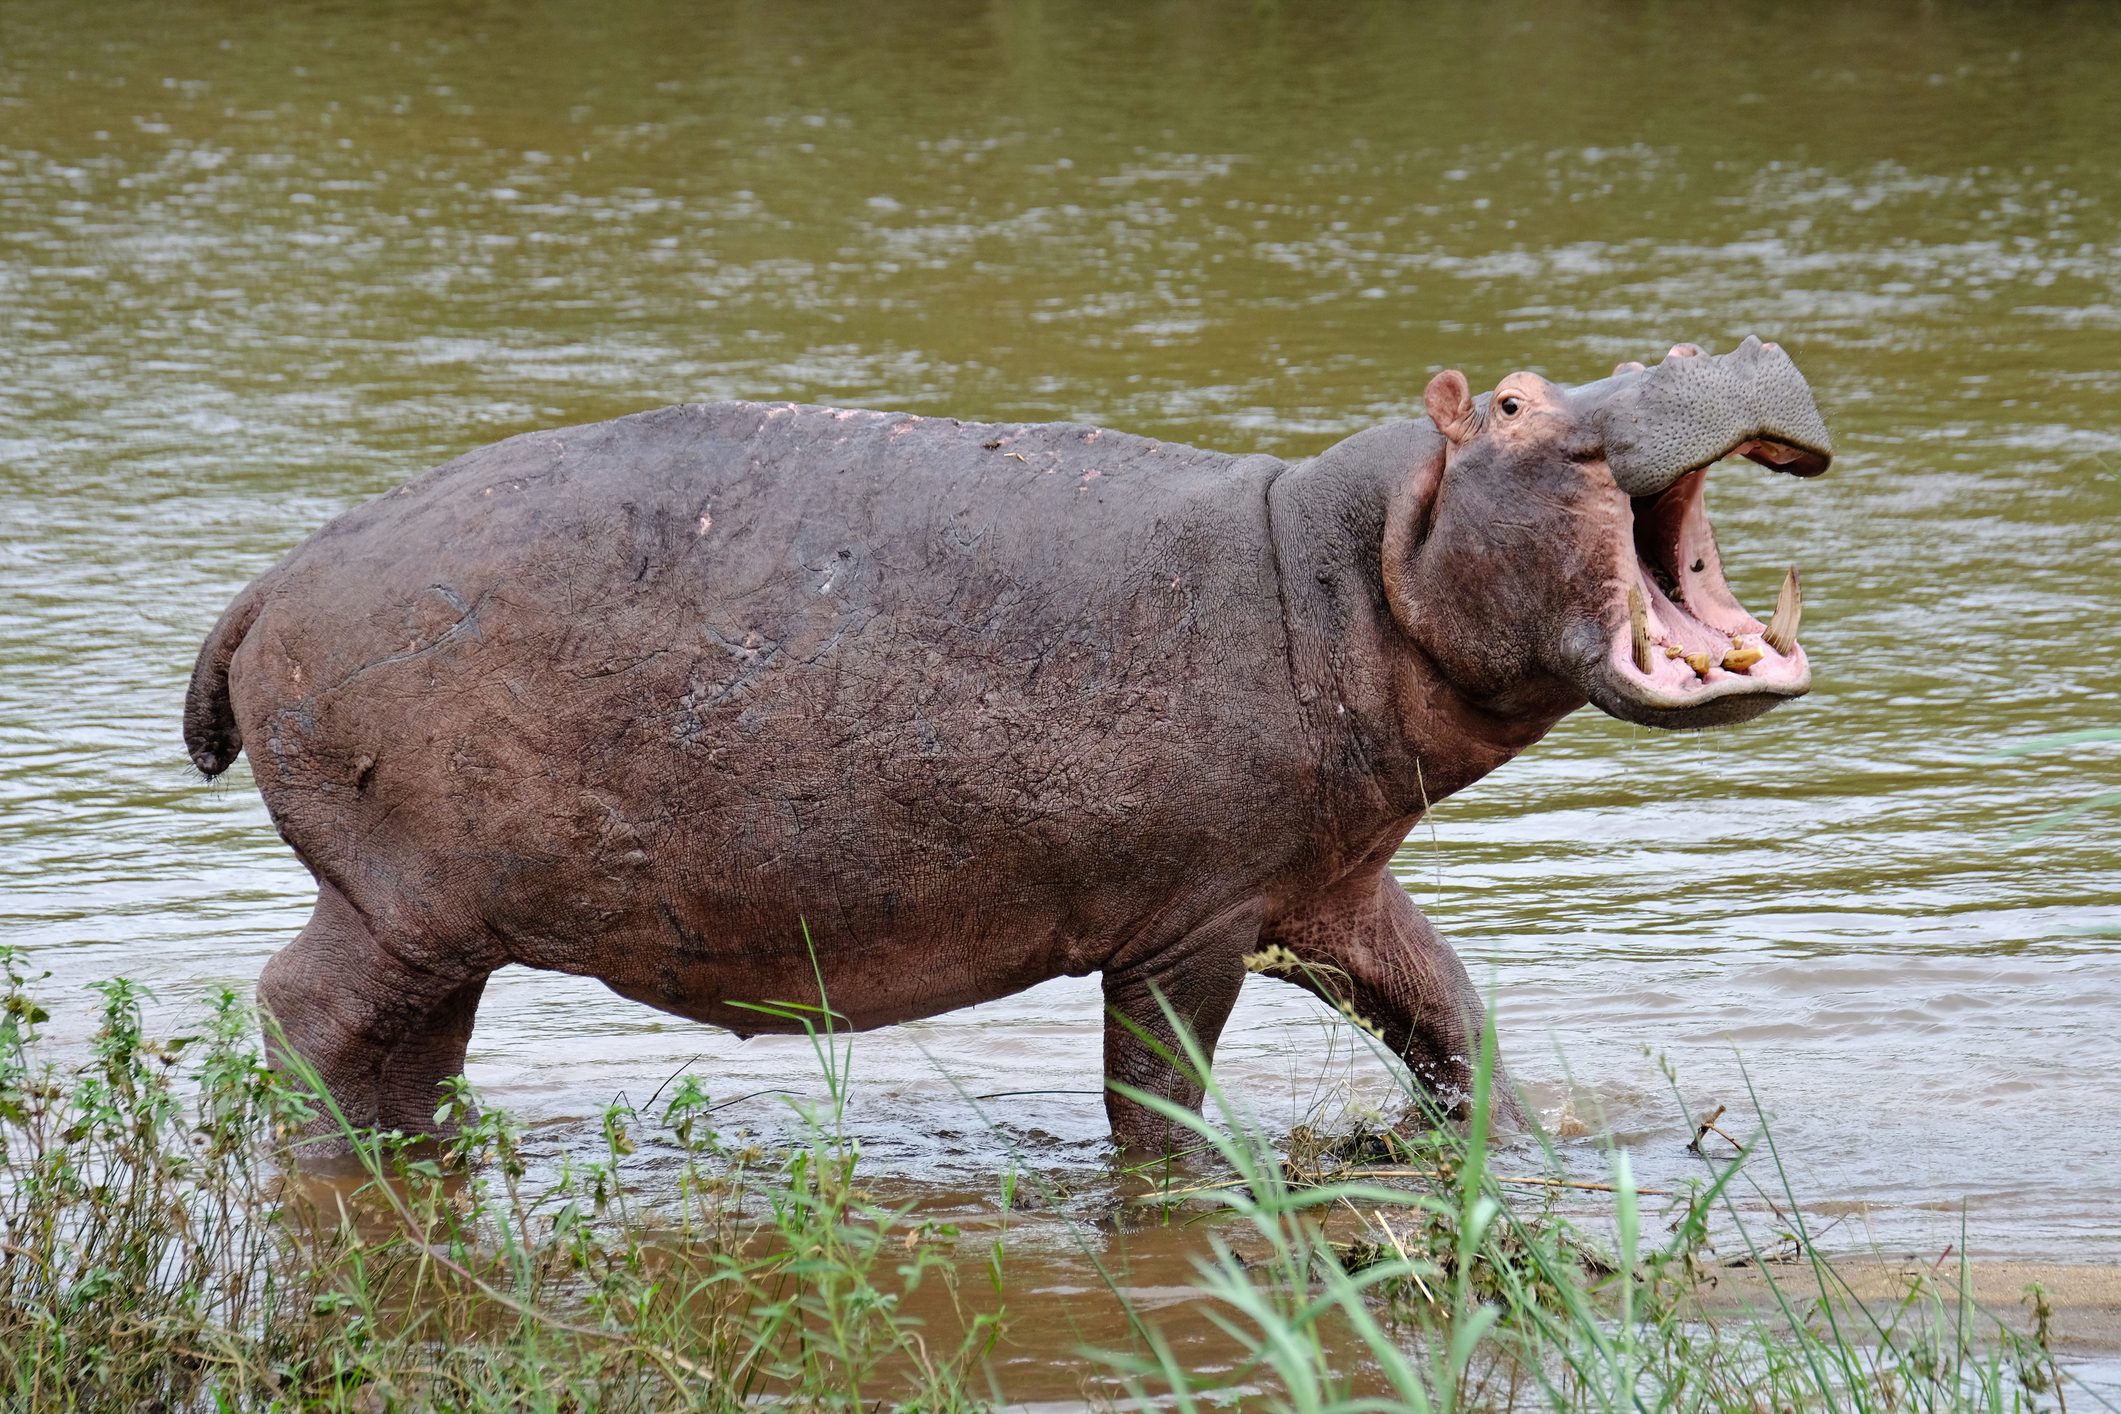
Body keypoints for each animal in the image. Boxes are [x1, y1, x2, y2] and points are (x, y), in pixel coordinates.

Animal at [184, 338, 1830, 1149]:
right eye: (1510, 400)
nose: (1717, 336)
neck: (1352, 560)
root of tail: (273, 575)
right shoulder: (1194, 918)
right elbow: (1155, 1099)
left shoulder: (1327, 879)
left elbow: (1448, 1017)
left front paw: (1522, 1144)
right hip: (405, 902)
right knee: (304, 1013)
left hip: (447, 924)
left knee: (401, 1050)